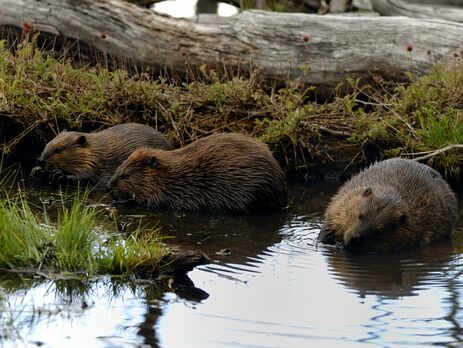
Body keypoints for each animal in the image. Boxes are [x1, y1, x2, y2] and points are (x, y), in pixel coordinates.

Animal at [31, 123, 172, 186]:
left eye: (58, 150)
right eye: (47, 143)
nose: (41, 161)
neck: (95, 150)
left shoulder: (94, 163)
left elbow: (85, 177)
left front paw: (58, 173)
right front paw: (36, 171)